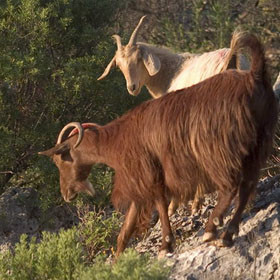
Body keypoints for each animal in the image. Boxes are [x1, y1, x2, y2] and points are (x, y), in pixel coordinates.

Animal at [39, 31, 278, 258]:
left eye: (60, 160)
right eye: (119, 65)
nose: (66, 194)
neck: (118, 137)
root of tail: (253, 76)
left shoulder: (150, 174)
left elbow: (161, 205)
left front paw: (166, 244)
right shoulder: (143, 181)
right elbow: (126, 230)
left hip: (218, 150)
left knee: (231, 186)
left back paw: (211, 229)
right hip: (258, 145)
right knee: (247, 186)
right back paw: (227, 234)